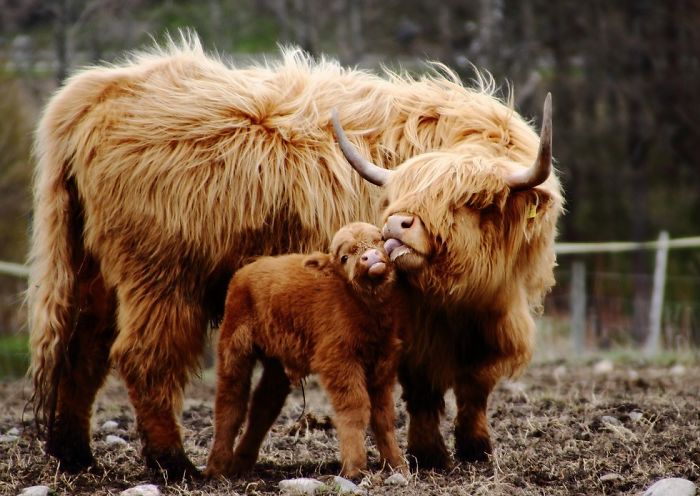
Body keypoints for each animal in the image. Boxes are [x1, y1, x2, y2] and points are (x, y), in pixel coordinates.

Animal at [205, 223, 408, 478]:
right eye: (344, 257)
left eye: (379, 240)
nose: (370, 257)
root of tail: (245, 270)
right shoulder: (339, 361)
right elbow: (354, 408)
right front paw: (355, 468)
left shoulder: (384, 362)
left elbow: (383, 415)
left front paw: (397, 464)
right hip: (233, 349)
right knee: (230, 402)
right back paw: (217, 467)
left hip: (276, 362)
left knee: (264, 404)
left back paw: (241, 463)